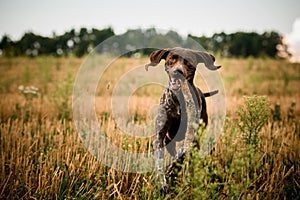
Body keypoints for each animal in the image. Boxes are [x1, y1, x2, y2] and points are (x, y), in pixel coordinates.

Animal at [145, 47, 220, 193]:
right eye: (172, 58)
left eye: (189, 62)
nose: (178, 71)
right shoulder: (159, 137)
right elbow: (160, 162)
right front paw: (162, 182)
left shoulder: (192, 137)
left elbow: (181, 154)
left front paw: (172, 172)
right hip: (169, 141)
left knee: (189, 161)